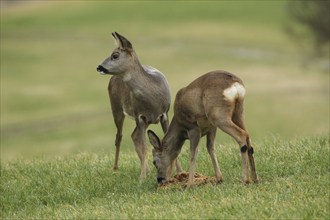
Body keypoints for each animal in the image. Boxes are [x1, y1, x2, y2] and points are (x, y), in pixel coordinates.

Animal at [95, 32, 183, 180]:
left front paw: (180, 172)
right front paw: (142, 177)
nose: (99, 67)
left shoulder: (164, 114)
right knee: (119, 137)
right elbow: (144, 146)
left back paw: (145, 169)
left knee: (133, 135)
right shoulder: (139, 115)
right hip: (116, 108)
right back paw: (116, 168)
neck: (152, 96)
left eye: (115, 55)